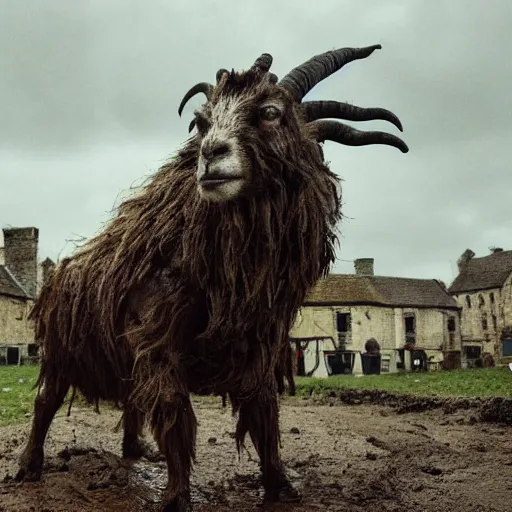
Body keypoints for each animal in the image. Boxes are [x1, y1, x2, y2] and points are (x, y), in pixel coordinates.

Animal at [15, 45, 408, 512]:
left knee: (131, 398)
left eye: (270, 111)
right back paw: (29, 466)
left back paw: (134, 450)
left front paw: (281, 486)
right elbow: (175, 415)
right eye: (201, 122)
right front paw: (176, 498)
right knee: (46, 400)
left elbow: (263, 414)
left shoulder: (258, 344)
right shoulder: (159, 339)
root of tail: (61, 271)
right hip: (60, 352)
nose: (210, 153)